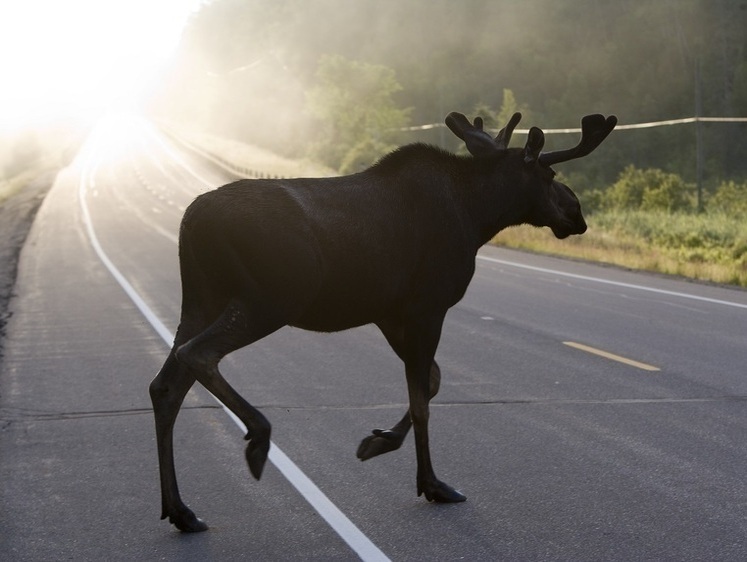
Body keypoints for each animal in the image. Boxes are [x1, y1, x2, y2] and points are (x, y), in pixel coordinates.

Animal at [149, 109, 616, 528]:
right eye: (549, 176)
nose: (577, 213)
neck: (479, 215)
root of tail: (190, 222)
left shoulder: (391, 313)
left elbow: (432, 382)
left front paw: (378, 441)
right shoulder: (428, 305)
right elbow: (422, 400)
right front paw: (432, 484)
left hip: (201, 301)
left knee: (165, 385)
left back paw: (180, 510)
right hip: (268, 299)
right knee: (197, 354)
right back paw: (258, 438)